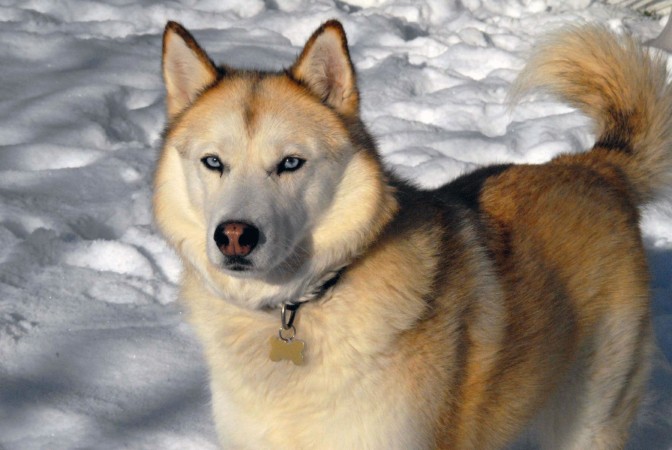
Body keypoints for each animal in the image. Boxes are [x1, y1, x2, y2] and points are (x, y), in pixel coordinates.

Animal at [154, 19, 672, 448]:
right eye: (213, 162)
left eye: (290, 163)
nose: (234, 236)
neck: (302, 303)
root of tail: (595, 165)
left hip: (591, 415)